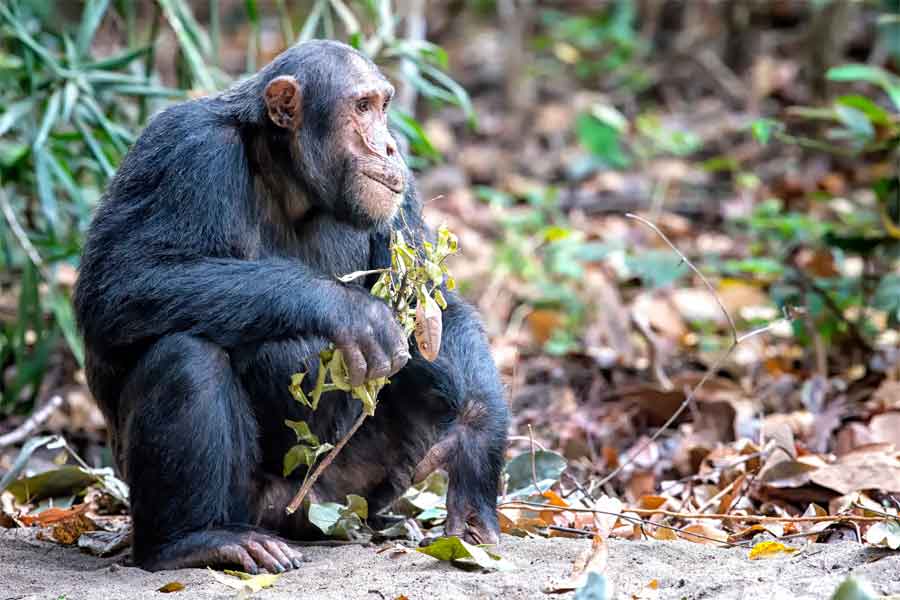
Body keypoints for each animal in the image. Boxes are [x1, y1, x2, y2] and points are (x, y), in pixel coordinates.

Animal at [74, 39, 510, 576]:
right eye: (361, 107)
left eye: (383, 106)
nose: (388, 146)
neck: (287, 178)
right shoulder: (182, 149)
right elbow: (119, 281)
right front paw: (350, 312)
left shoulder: (400, 193)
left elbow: (431, 310)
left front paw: (474, 452)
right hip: (247, 501)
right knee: (185, 357)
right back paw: (194, 541)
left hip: (350, 488)